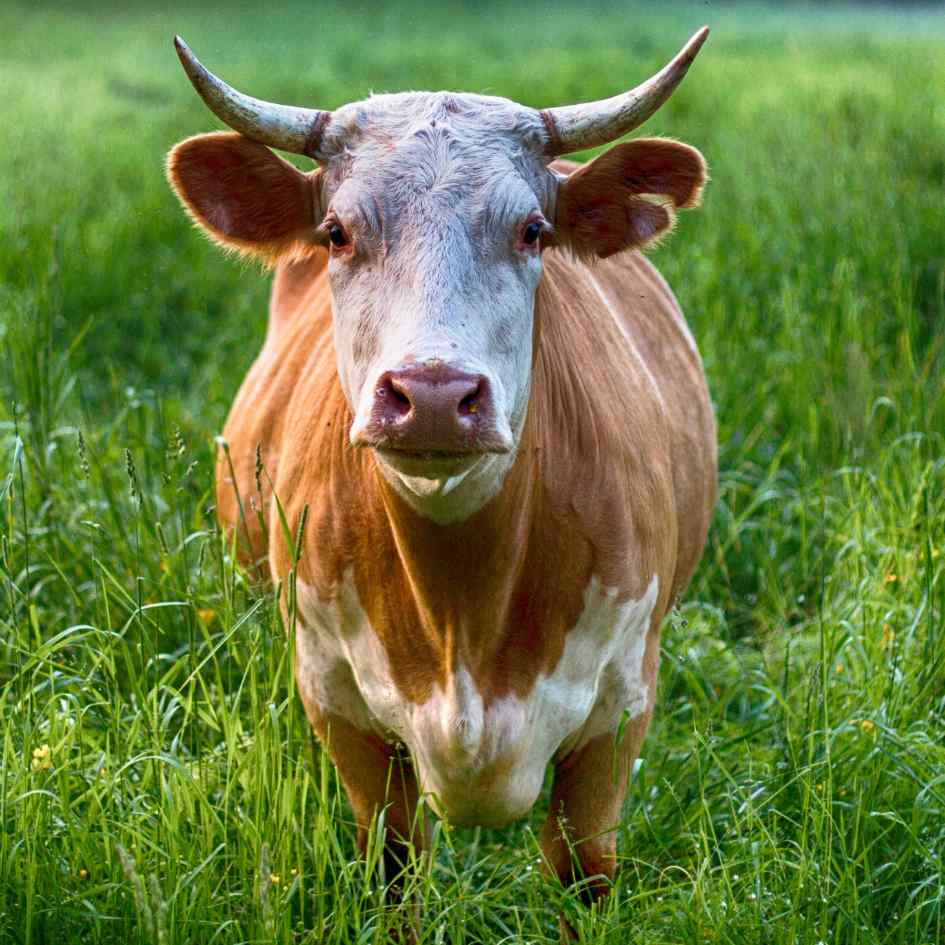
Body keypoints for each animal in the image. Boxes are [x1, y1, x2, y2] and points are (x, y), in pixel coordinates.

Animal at [166, 27, 716, 937]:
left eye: (532, 230)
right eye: (336, 231)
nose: (431, 395)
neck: (465, 609)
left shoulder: (619, 711)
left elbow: (582, 876)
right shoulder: (337, 701)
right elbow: (392, 871)